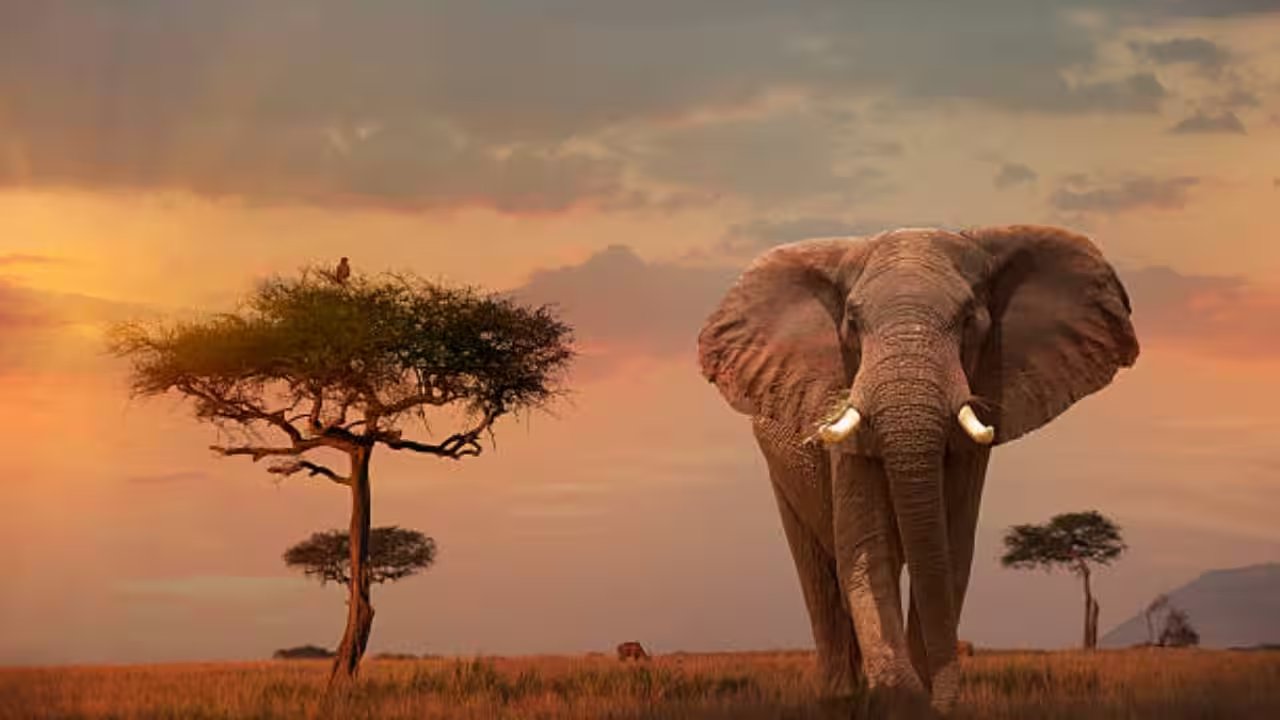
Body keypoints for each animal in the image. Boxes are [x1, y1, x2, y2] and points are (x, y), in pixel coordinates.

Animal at [697, 225, 1138, 713]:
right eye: (853, 323)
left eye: (968, 320)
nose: (944, 700)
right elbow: (869, 549)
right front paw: (898, 698)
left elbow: (950, 549)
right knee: (819, 574)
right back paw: (842, 697)